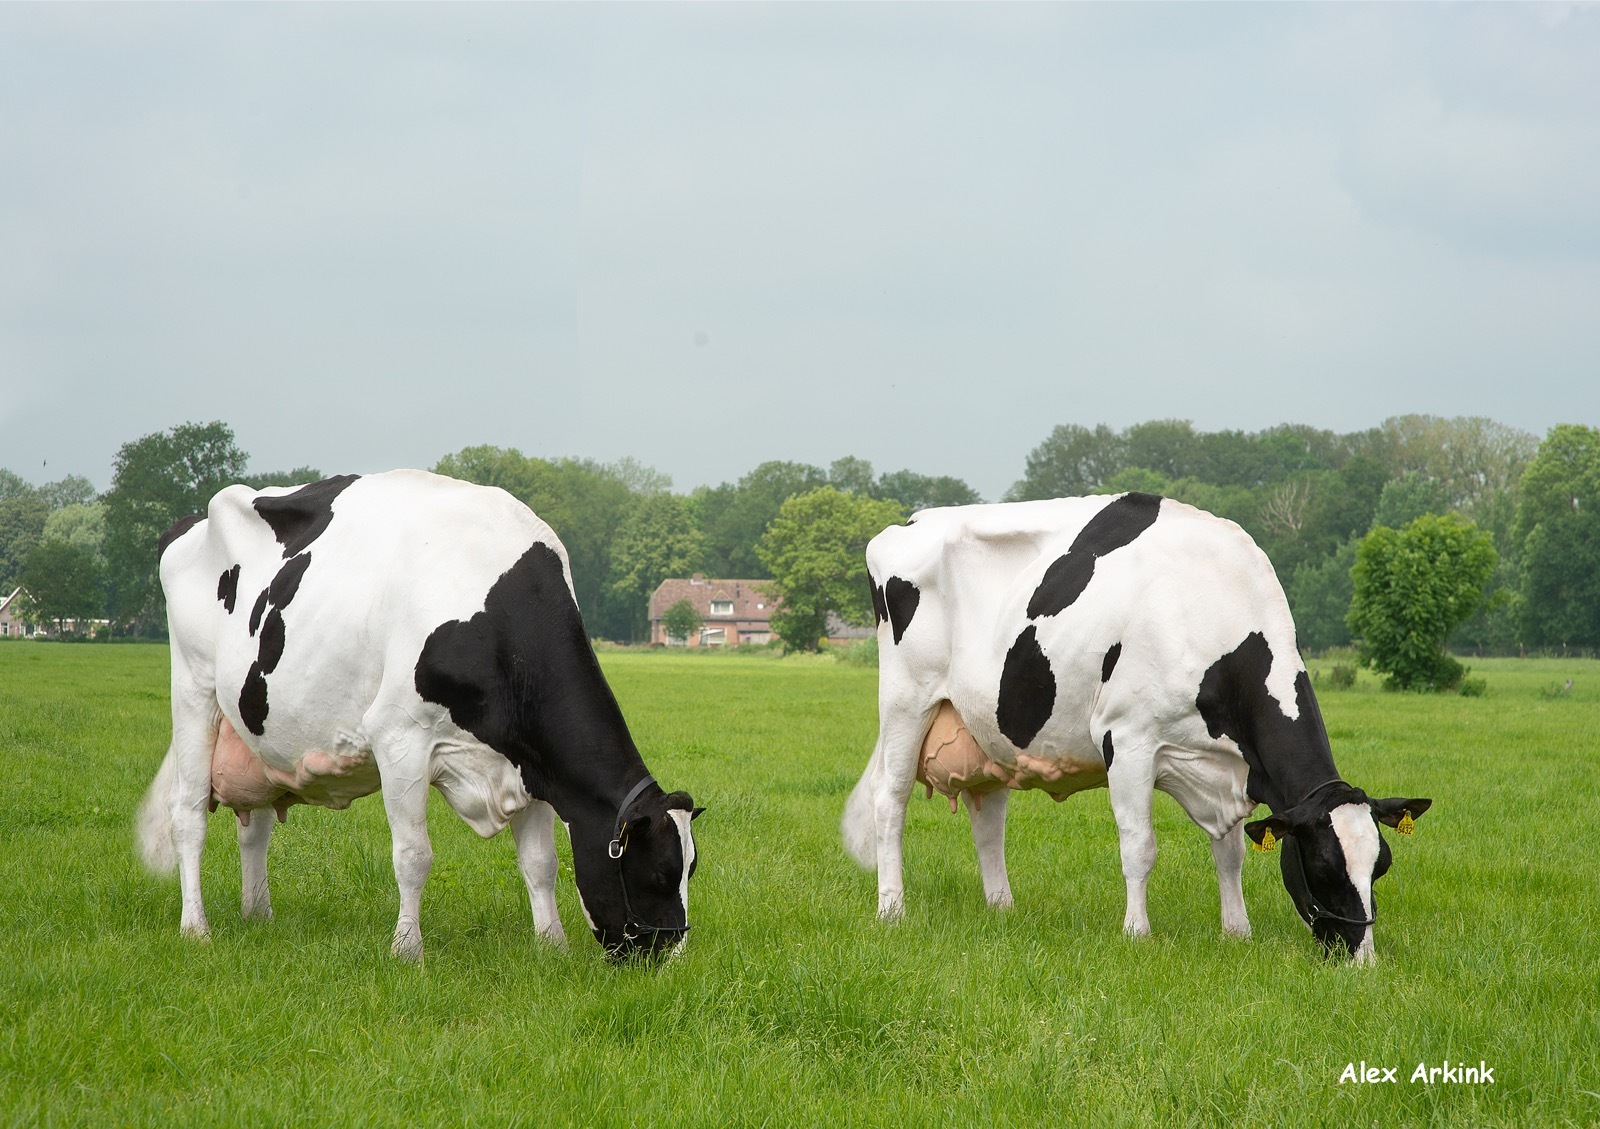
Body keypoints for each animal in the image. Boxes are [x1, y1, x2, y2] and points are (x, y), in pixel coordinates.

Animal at [140, 466, 704, 959]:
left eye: (691, 871)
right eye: (657, 873)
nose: (671, 960)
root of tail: (190, 523)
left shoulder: (531, 759)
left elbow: (540, 863)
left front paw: (552, 947)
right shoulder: (399, 739)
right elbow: (414, 856)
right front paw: (407, 950)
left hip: (254, 735)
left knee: (254, 829)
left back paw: (259, 914)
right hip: (193, 690)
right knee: (188, 814)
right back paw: (196, 928)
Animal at [844, 492, 1433, 959]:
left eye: (1380, 866)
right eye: (1324, 867)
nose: (1361, 959)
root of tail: (913, 520)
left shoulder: (1224, 767)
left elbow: (1231, 851)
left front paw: (1236, 931)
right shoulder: (1128, 740)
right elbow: (1139, 846)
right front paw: (1136, 932)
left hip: (986, 729)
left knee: (988, 815)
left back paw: (1001, 908)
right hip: (905, 699)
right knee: (890, 800)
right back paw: (892, 909)